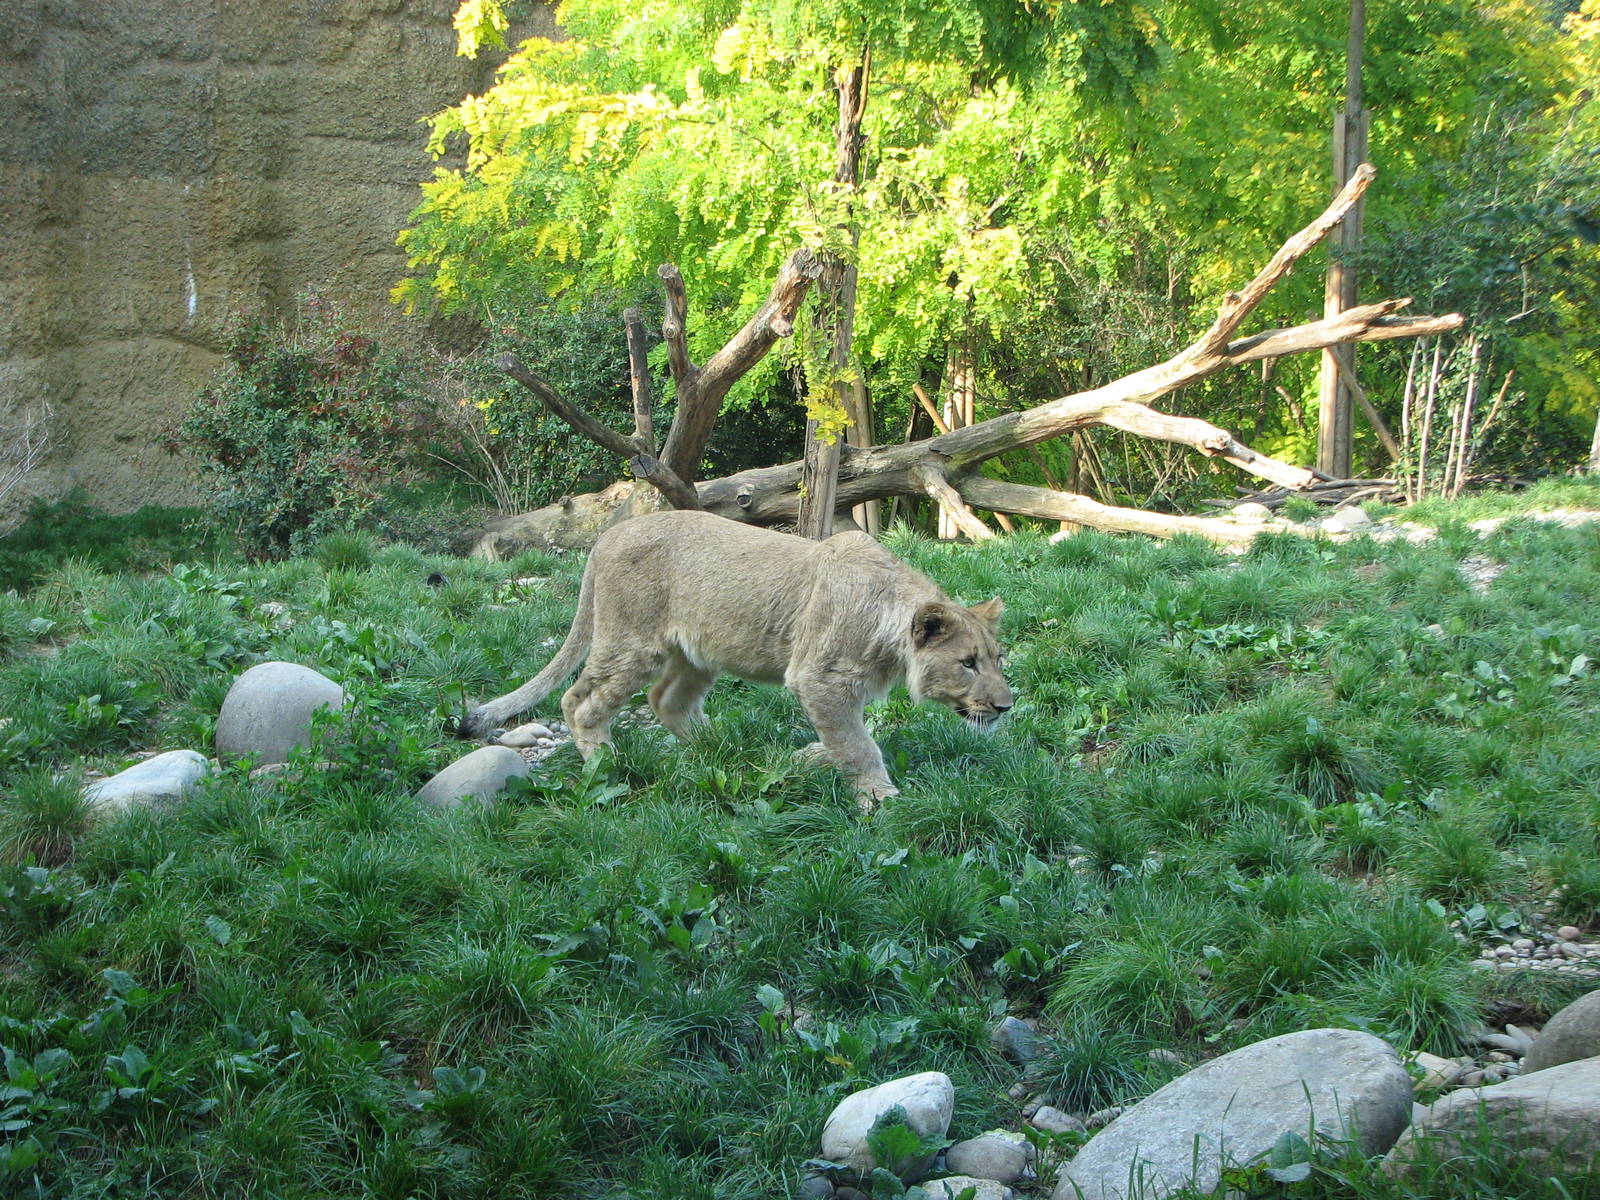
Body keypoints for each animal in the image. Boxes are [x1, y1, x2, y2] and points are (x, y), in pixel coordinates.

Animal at [459, 510, 1012, 805]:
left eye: (997, 658)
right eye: (967, 662)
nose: (1006, 707)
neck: (889, 629)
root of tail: (607, 535)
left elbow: (844, 741)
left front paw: (807, 758)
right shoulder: (820, 679)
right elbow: (858, 746)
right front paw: (878, 798)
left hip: (698, 654)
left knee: (667, 701)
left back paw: (727, 749)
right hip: (632, 641)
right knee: (581, 700)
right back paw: (606, 763)